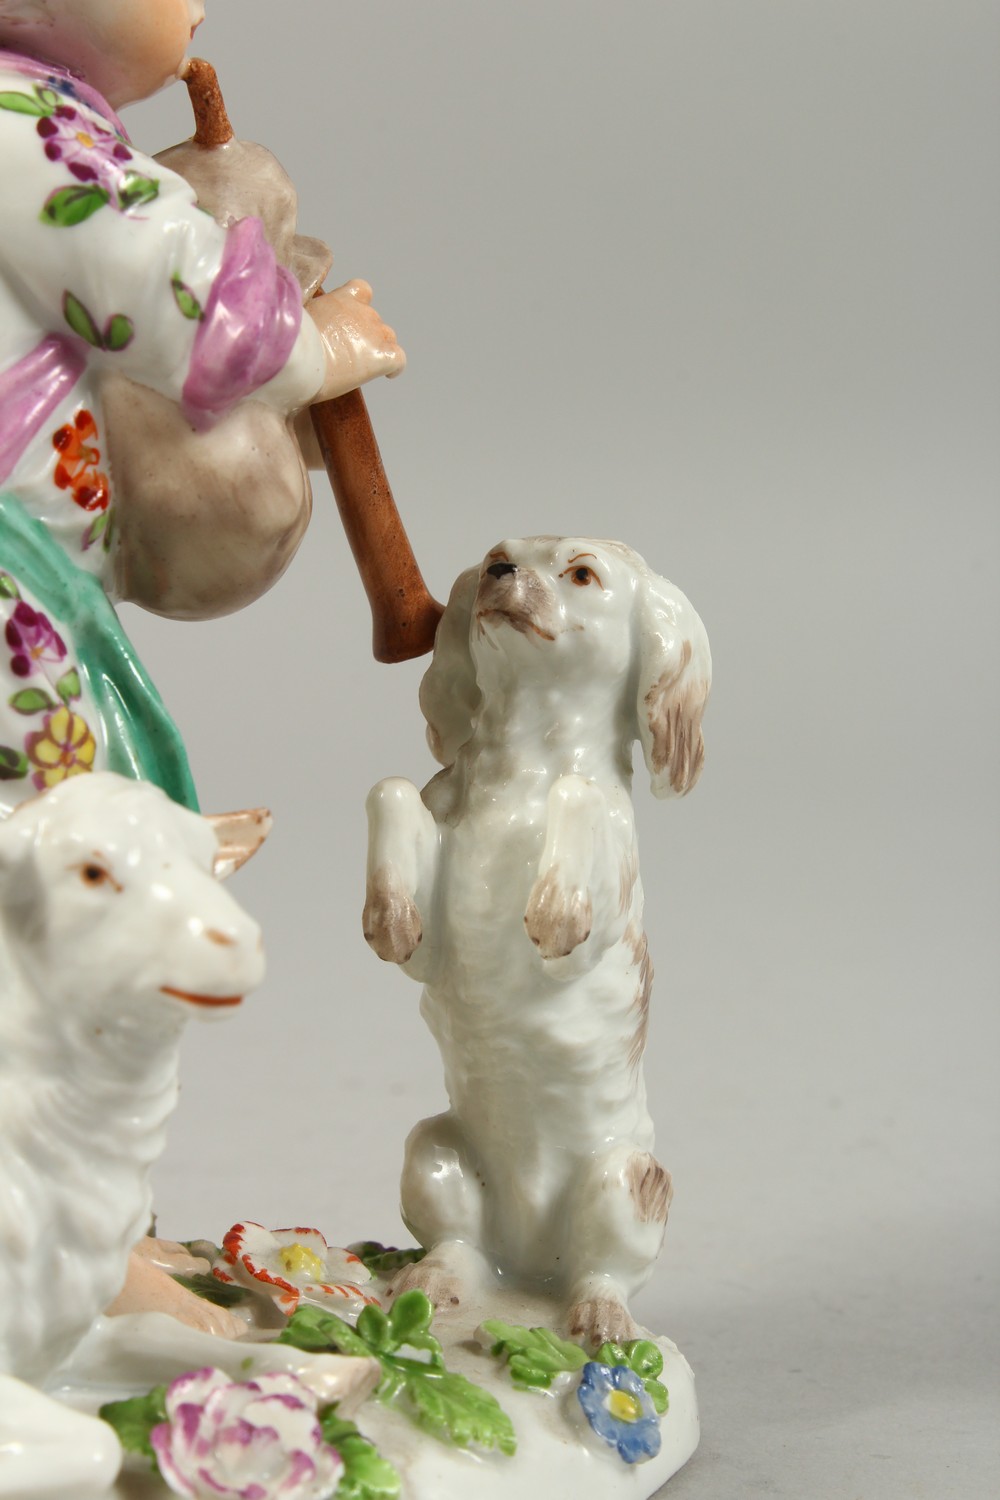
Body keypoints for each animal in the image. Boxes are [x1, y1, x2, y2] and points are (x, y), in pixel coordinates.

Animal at [0, 780, 265, 1494]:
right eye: (92, 872)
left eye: (205, 859)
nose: (238, 940)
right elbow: (95, 1447)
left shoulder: (74, 1341)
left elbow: (201, 1344)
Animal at [361, 537, 710, 1350]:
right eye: (496, 554)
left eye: (582, 573)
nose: (500, 573)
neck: (521, 775)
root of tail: (525, 1267)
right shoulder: (433, 945)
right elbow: (391, 790)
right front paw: (388, 916)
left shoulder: (585, 934)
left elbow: (581, 800)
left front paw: (554, 909)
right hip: (434, 1155)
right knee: (459, 1244)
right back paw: (432, 1283)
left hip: (624, 1183)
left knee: (602, 1272)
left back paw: (600, 1319)